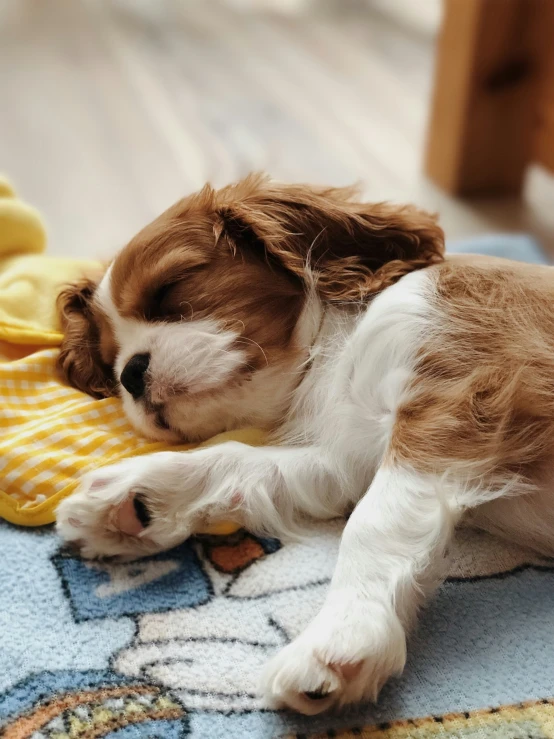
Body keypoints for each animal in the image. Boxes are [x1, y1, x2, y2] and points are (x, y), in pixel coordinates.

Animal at [55, 173, 552, 716]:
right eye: (110, 361)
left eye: (171, 290)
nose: (131, 373)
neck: (340, 345)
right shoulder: (347, 460)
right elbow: (238, 457)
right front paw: (132, 498)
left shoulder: (463, 393)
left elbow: (372, 525)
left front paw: (343, 635)